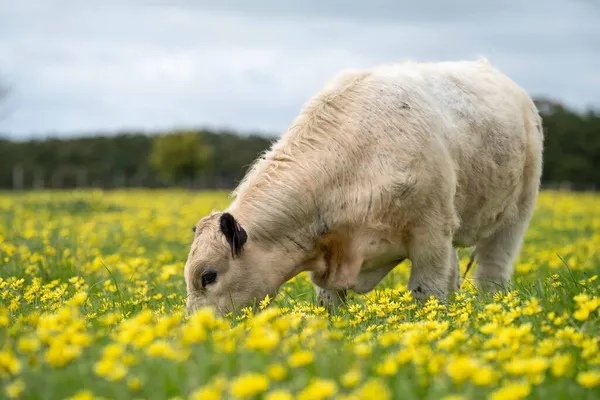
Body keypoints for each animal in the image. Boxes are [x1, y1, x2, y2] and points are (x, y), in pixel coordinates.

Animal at [183, 57, 544, 318]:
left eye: (208, 275)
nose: (196, 327)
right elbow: (330, 304)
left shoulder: (431, 236)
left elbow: (426, 293)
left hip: (514, 218)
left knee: (492, 271)